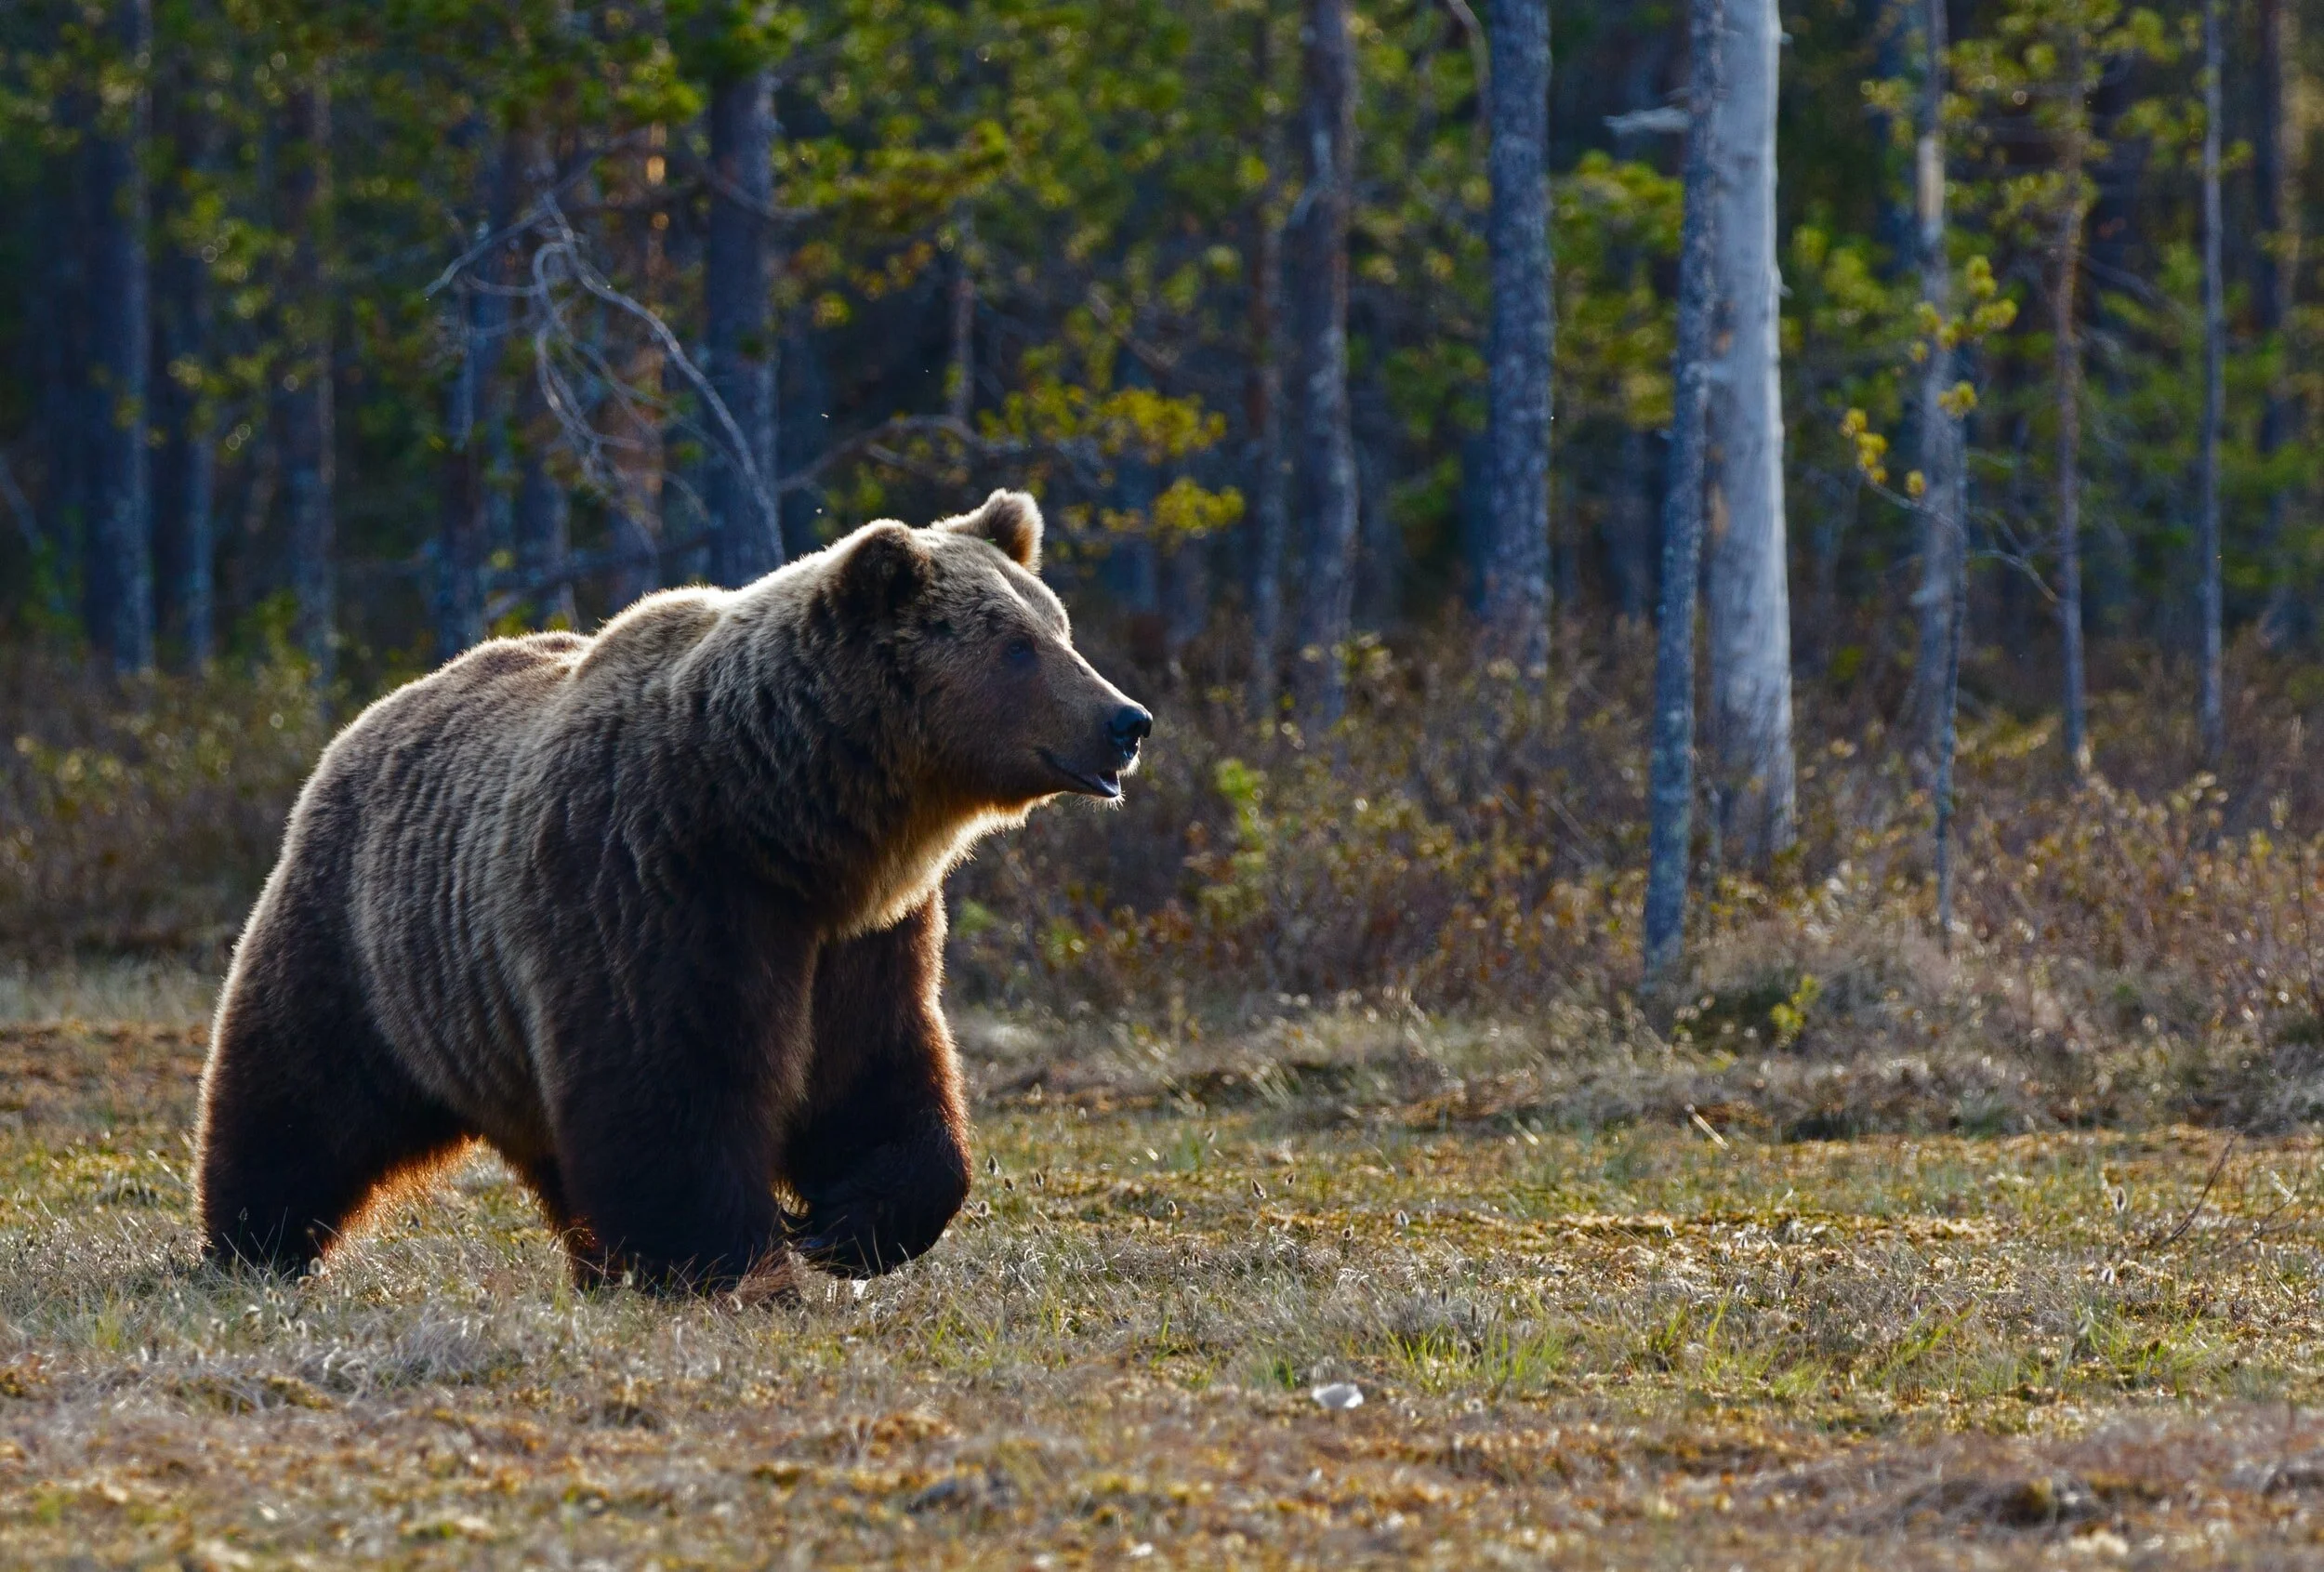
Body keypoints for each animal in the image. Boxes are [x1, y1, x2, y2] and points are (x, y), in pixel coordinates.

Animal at [194, 490, 1148, 1291]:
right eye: (1017, 646)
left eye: (1059, 626)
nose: (1127, 719)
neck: (786, 822)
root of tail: (371, 715)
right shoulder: (656, 885)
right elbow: (672, 1087)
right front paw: (735, 1260)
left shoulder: (865, 934)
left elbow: (877, 1070)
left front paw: (848, 1223)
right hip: (368, 941)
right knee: (298, 1095)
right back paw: (252, 1244)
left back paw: (595, 1263)